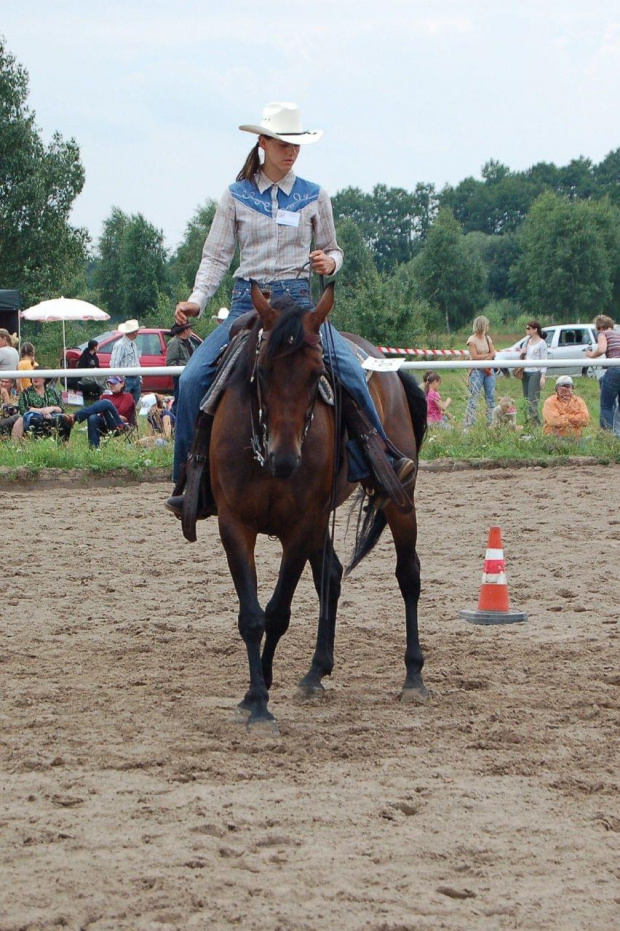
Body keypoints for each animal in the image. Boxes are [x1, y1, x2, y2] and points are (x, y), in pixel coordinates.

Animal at [208, 282, 426, 728]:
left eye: (316, 374)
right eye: (262, 369)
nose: (285, 458)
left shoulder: (301, 525)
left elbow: (277, 611)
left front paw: (262, 697)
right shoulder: (234, 525)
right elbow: (252, 616)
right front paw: (254, 696)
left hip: (400, 500)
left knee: (408, 575)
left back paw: (414, 675)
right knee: (334, 575)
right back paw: (315, 671)